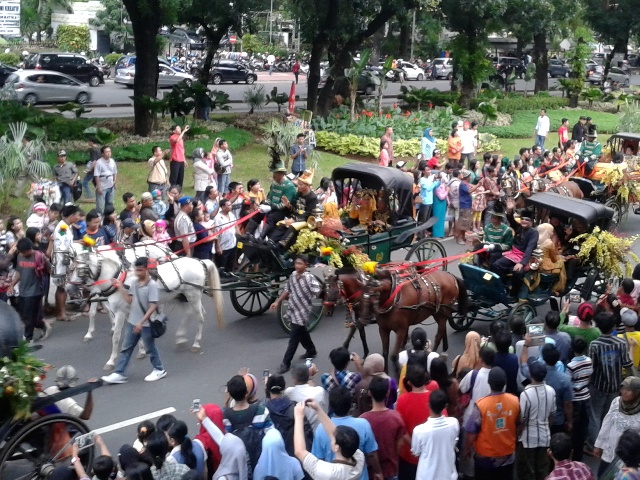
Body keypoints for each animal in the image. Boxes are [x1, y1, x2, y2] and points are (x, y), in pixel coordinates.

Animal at [69, 246, 224, 370]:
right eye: (71, 268)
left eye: (78, 269)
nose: (69, 288)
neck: (120, 281)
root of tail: (200, 261)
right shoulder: (130, 311)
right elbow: (135, 331)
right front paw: (142, 351)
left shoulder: (120, 313)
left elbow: (116, 337)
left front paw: (111, 361)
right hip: (181, 296)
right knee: (188, 313)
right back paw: (180, 338)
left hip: (193, 295)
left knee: (200, 317)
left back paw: (196, 343)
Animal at [328, 268, 468, 374]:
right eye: (362, 298)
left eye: (372, 300)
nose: (327, 310)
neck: (392, 299)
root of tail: (451, 275)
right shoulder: (383, 329)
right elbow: (384, 352)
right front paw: (385, 371)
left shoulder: (401, 329)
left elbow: (393, 355)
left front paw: (397, 370)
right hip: (441, 313)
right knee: (443, 328)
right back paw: (444, 347)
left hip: (440, 313)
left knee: (439, 333)